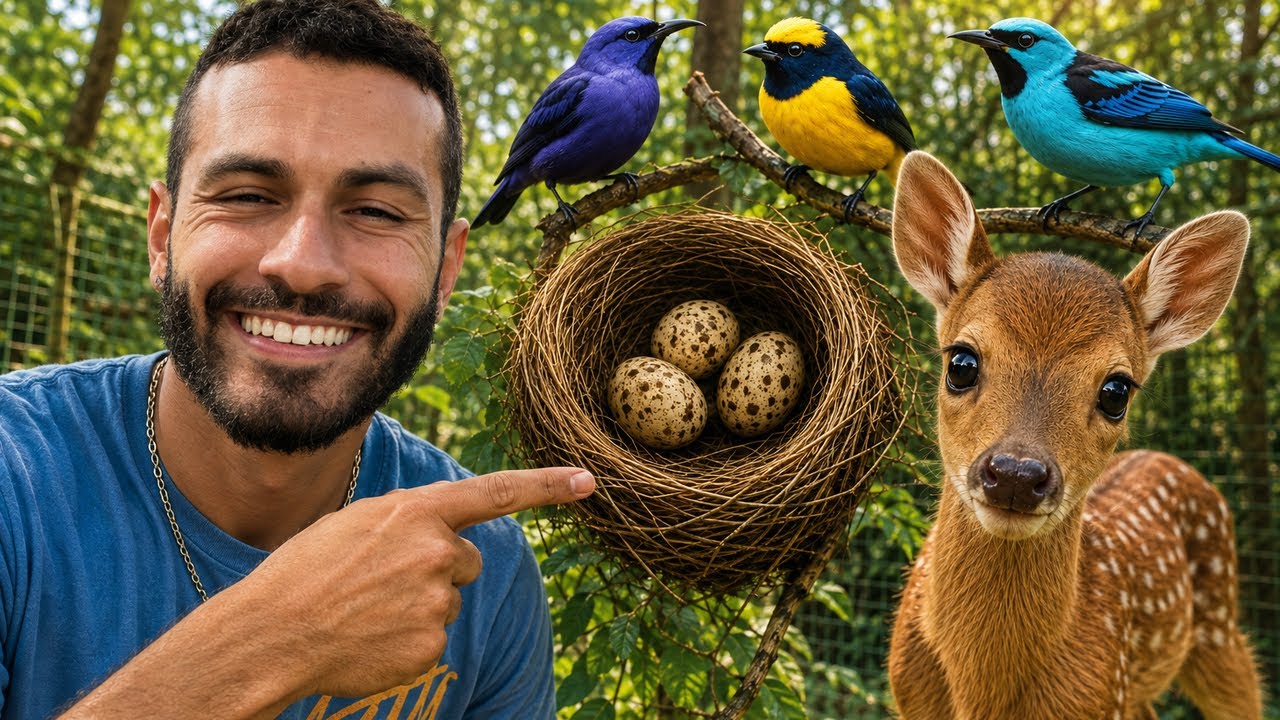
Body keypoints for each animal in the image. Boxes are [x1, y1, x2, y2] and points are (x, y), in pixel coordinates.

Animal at [885, 151, 1263, 719]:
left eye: (1116, 391)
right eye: (961, 362)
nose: (1016, 475)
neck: (984, 693)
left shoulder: (1103, 694)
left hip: (1219, 626)